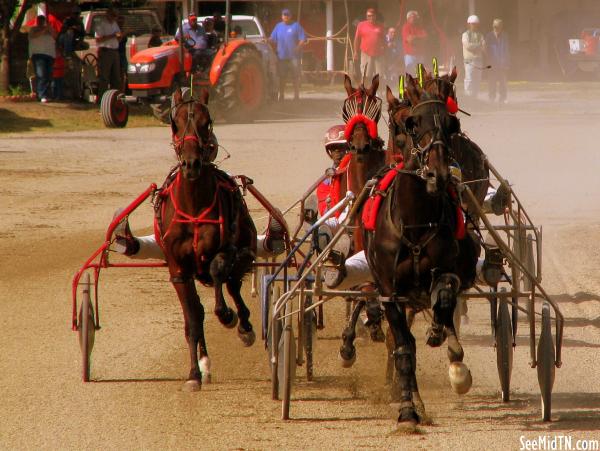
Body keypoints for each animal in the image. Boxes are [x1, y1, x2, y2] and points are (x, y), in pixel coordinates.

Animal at [156, 88, 256, 392]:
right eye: (174, 123)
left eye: (207, 122)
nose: (191, 164)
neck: (194, 206)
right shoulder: (178, 271)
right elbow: (192, 319)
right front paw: (193, 374)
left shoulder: (227, 249)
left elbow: (219, 270)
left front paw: (227, 315)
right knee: (200, 309)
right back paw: (204, 363)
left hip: (246, 249)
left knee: (233, 282)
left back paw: (243, 325)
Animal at [366, 77, 478, 430]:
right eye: (413, 124)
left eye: (452, 124)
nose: (438, 174)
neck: (414, 220)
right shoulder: (389, 292)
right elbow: (403, 349)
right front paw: (407, 410)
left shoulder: (446, 270)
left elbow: (443, 299)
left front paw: (451, 356)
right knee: (406, 345)